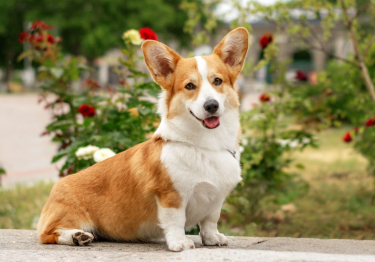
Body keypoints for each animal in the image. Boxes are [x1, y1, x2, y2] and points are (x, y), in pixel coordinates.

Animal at [36, 27, 250, 252]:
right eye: (190, 86)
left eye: (217, 81)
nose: (211, 106)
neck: (207, 145)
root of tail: (55, 189)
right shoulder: (171, 196)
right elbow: (176, 221)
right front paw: (179, 243)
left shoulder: (215, 200)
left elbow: (210, 221)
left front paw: (212, 238)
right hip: (67, 217)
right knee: (47, 234)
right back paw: (76, 236)